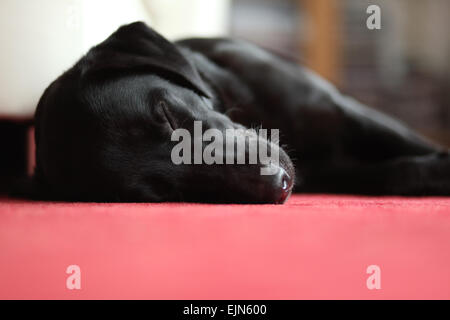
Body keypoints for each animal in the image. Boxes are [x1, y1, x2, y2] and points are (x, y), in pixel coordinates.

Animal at [26, 21, 448, 202]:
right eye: (164, 192)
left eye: (167, 115)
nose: (279, 183)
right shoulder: (327, 171)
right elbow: (398, 174)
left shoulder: (345, 113)